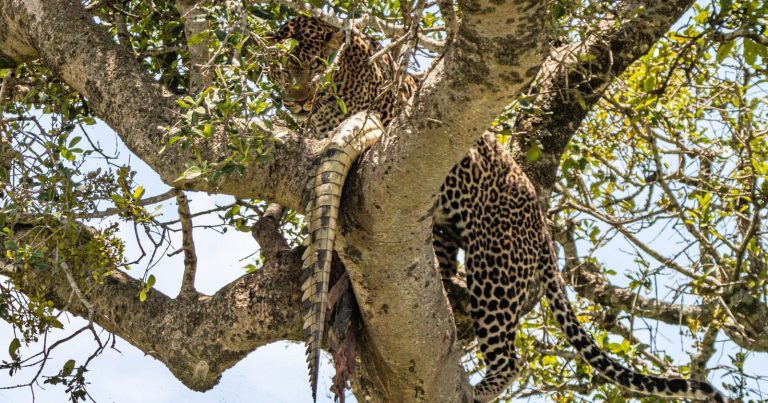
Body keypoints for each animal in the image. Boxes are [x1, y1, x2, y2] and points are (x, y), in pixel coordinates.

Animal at [268, 14, 728, 402]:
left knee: (509, 356)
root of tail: (540, 224)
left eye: (316, 66)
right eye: (283, 70)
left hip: (495, 266)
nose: (297, 100)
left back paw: (482, 388)